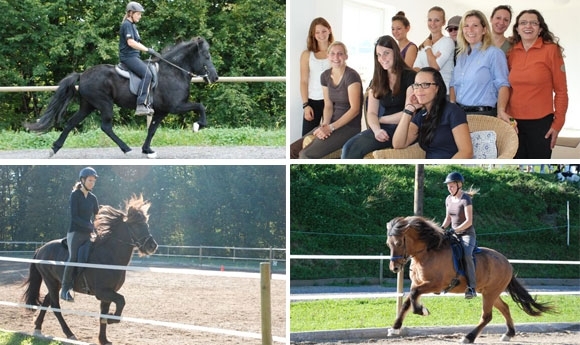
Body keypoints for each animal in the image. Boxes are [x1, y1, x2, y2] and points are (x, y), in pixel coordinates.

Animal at [22, 195, 159, 342]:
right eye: (136, 225)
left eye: (146, 225)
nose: (152, 246)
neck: (109, 255)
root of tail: (41, 249)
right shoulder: (102, 292)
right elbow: (121, 301)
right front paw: (111, 320)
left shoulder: (107, 294)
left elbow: (104, 313)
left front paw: (104, 339)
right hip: (50, 281)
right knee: (55, 305)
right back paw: (69, 333)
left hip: (56, 283)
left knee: (47, 302)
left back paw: (38, 327)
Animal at [23, 36, 220, 157]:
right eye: (206, 56)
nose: (215, 77)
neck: (174, 71)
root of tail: (83, 74)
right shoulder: (176, 106)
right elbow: (200, 106)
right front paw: (198, 125)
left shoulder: (161, 111)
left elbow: (152, 129)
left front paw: (147, 150)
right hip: (104, 104)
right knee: (105, 126)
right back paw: (126, 149)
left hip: (88, 106)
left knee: (71, 122)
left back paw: (54, 148)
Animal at [386, 215, 552, 342]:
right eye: (388, 244)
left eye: (399, 243)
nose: (394, 268)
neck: (428, 252)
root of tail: (507, 263)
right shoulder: (418, 283)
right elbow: (407, 302)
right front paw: (395, 327)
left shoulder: (435, 284)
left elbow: (414, 295)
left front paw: (422, 311)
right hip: (489, 292)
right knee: (504, 307)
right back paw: (508, 334)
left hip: (490, 293)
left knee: (487, 316)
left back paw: (468, 337)